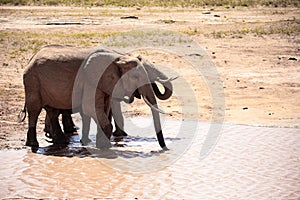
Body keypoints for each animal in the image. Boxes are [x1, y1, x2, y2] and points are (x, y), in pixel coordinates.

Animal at [19, 44, 170, 150]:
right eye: (135, 77)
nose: (165, 149)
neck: (118, 57)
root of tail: (31, 58)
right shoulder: (92, 80)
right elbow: (91, 108)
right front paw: (105, 147)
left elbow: (103, 108)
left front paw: (94, 143)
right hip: (32, 81)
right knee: (34, 110)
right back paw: (34, 145)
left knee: (53, 111)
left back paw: (61, 141)